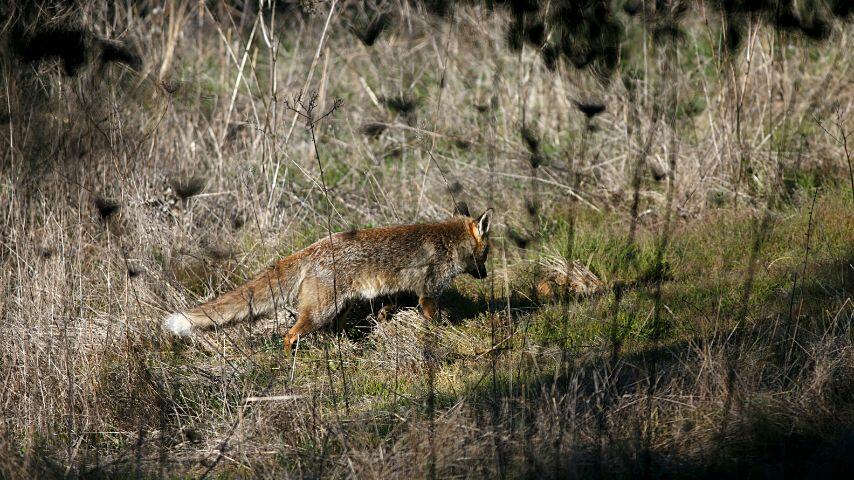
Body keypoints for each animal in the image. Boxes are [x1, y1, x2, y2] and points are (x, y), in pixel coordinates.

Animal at [164, 208, 494, 350]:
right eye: (487, 254)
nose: (486, 276)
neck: (450, 243)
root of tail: (313, 247)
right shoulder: (428, 292)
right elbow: (434, 321)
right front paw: (443, 334)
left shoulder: (399, 293)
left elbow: (386, 312)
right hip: (321, 311)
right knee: (290, 335)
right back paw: (292, 362)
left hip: (340, 307)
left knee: (332, 331)